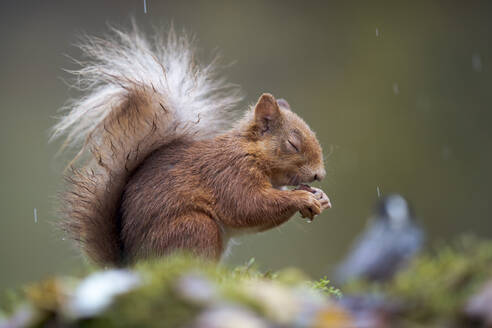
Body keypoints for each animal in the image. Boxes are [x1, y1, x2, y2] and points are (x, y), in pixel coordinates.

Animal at [52, 26, 330, 266]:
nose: (320, 175)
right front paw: (301, 198)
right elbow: (249, 206)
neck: (250, 152)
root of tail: (131, 265)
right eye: (292, 144)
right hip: (196, 228)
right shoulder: (230, 174)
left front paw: (320, 197)